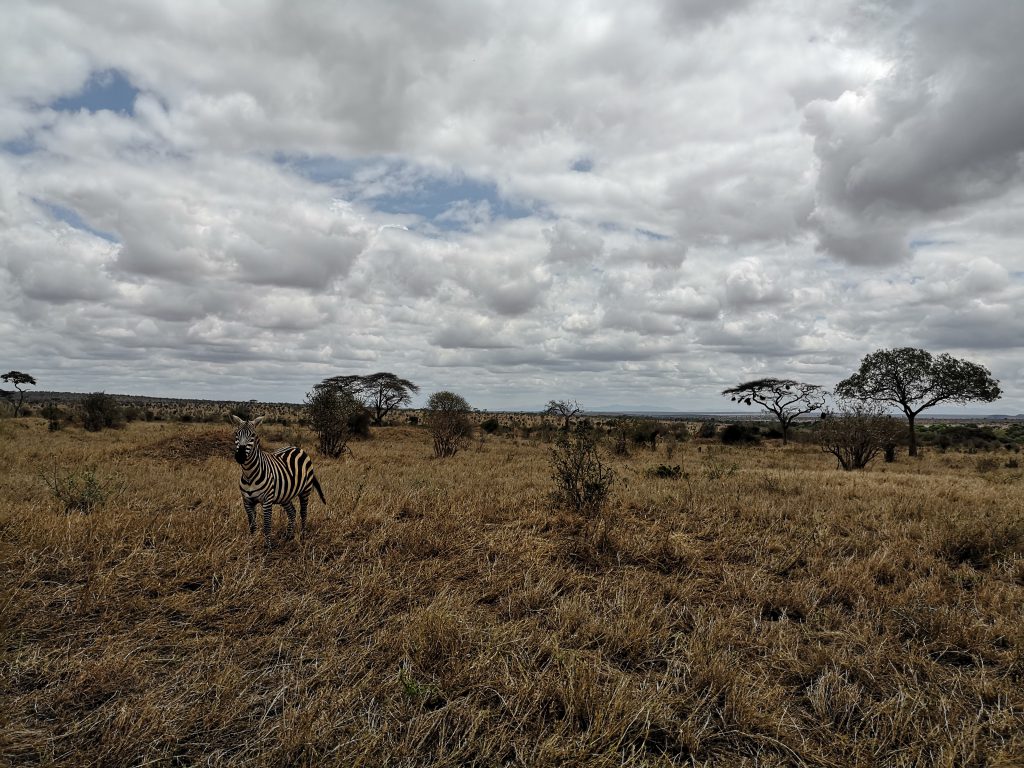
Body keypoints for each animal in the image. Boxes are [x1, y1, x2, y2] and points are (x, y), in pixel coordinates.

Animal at [231, 415, 323, 548]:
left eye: (253, 435)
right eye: (236, 434)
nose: (240, 456)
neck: (249, 474)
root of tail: (296, 447)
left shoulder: (267, 501)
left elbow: (267, 526)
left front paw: (268, 548)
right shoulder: (247, 501)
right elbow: (252, 526)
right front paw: (252, 544)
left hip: (305, 490)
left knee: (303, 512)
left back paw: (303, 536)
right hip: (285, 496)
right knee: (292, 512)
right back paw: (288, 537)